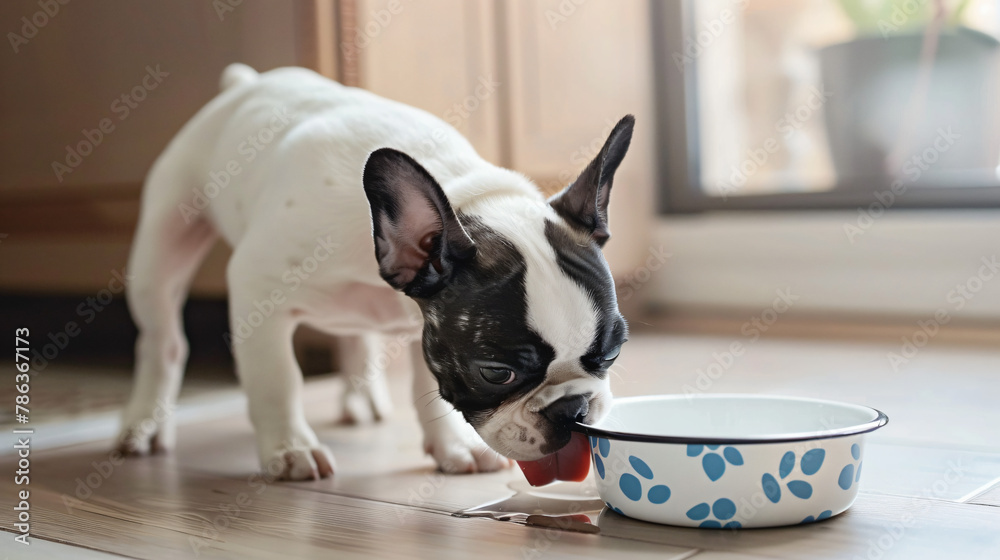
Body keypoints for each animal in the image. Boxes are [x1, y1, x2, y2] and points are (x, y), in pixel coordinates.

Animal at [117, 63, 632, 480]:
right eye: (495, 374)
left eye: (611, 354)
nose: (573, 409)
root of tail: (244, 84)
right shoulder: (257, 289)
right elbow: (277, 379)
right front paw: (289, 449)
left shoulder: (428, 325)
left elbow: (428, 386)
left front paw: (452, 447)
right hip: (163, 243)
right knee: (163, 341)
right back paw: (143, 425)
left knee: (355, 338)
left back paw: (361, 397)